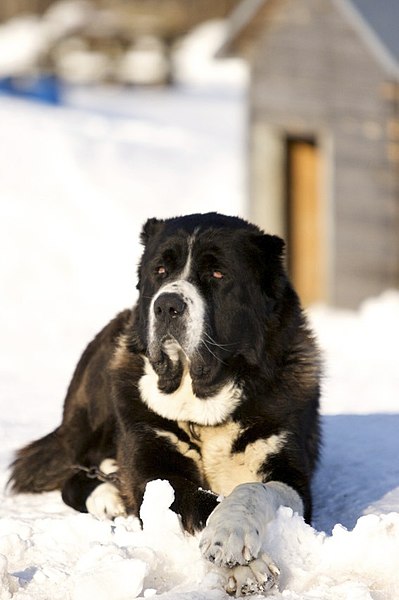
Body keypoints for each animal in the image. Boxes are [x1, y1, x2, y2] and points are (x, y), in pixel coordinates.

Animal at [10, 212, 322, 596]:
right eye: (159, 270)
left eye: (217, 274)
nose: (167, 305)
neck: (204, 407)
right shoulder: (154, 470)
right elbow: (200, 498)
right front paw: (248, 565)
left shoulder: (292, 478)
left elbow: (253, 490)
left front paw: (229, 532)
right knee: (74, 472)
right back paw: (109, 496)